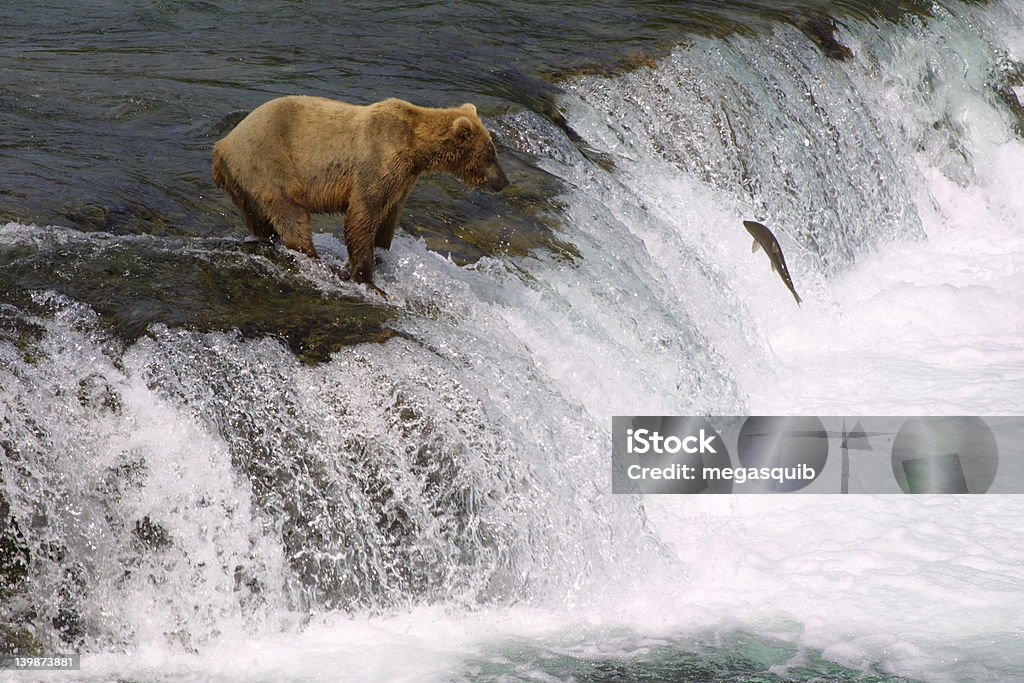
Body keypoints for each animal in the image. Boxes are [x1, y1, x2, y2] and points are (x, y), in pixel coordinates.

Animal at [210, 94, 507, 294]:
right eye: (490, 154)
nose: (502, 182)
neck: (415, 150)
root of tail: (221, 144)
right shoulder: (377, 161)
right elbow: (363, 214)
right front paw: (366, 277)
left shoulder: (402, 181)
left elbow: (387, 217)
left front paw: (383, 253)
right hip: (268, 163)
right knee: (290, 214)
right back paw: (318, 261)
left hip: (244, 184)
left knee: (259, 219)